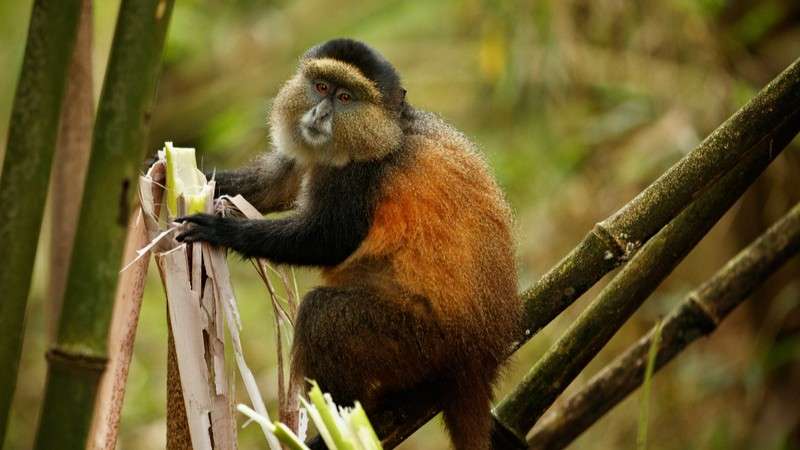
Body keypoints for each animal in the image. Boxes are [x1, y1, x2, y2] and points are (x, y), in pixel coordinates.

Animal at [176, 38, 520, 450]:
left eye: (345, 97)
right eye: (321, 87)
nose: (320, 114)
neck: (391, 130)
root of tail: (480, 360)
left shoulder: (361, 174)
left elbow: (329, 240)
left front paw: (223, 231)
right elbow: (278, 182)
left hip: (422, 342)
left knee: (324, 316)